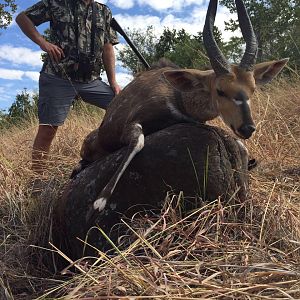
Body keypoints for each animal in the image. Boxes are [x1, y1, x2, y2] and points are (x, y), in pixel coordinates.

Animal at [73, 0, 288, 216]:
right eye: (220, 90)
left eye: (252, 89)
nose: (247, 128)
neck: (177, 95)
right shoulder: (133, 122)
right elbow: (138, 142)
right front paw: (99, 202)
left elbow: (242, 147)